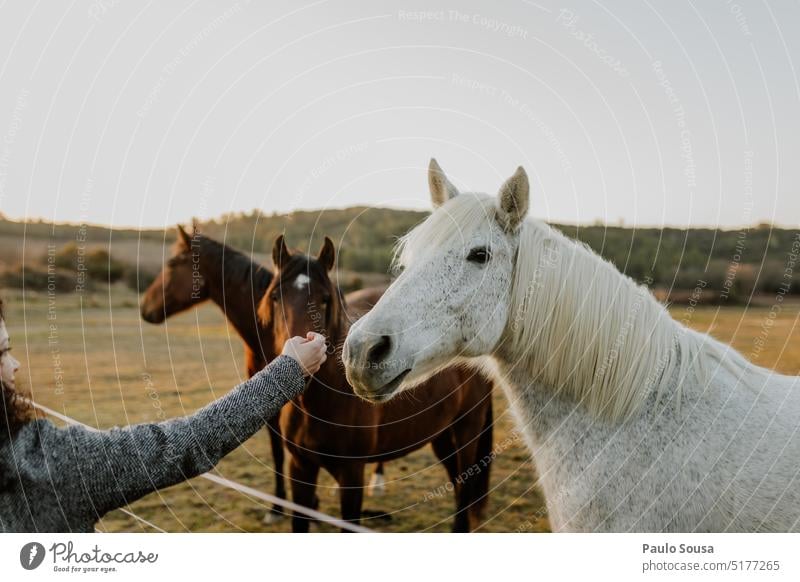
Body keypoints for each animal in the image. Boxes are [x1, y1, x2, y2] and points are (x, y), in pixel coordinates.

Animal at [260, 236, 494, 532]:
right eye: (276, 297)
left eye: (325, 300)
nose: (302, 357)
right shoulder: (300, 468)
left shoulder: (351, 475)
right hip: (441, 433)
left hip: (467, 428)